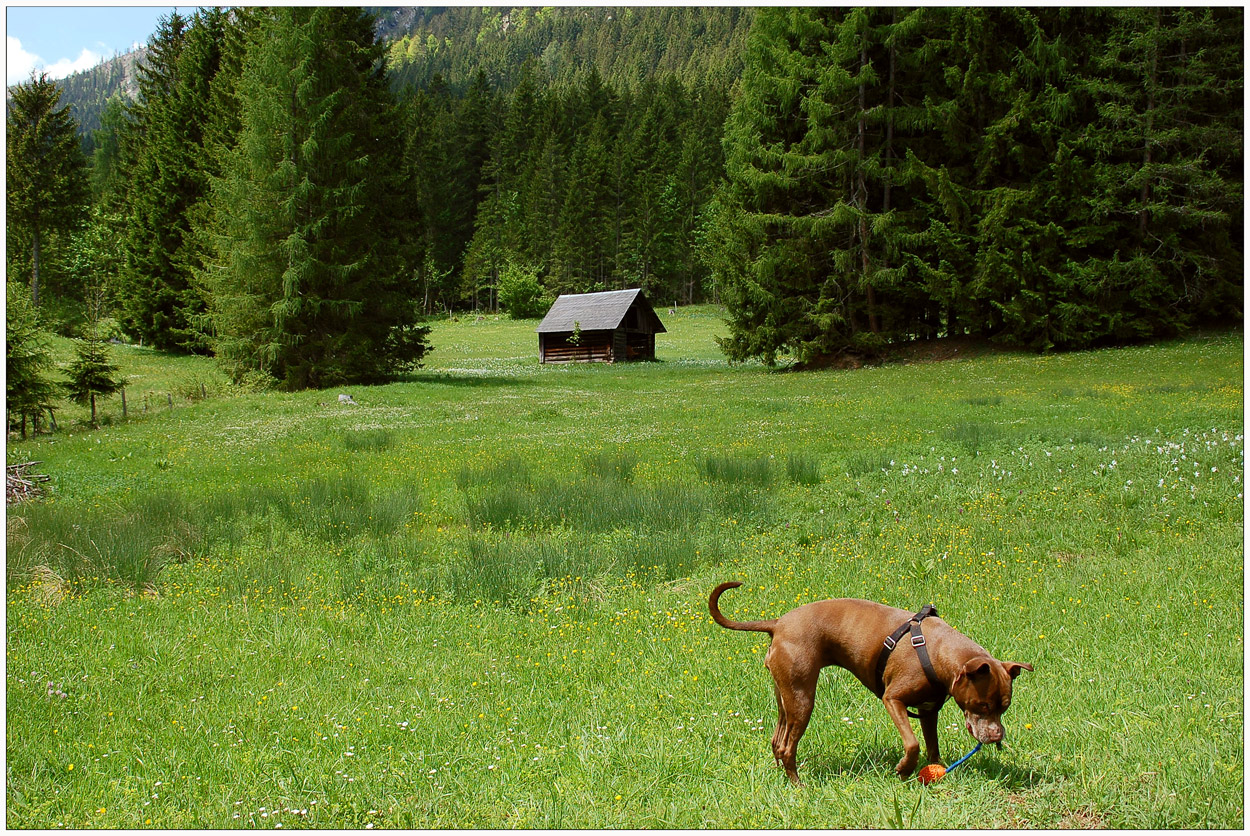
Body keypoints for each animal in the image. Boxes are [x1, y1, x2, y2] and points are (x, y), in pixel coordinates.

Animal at [710, 579, 1030, 784]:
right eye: (982, 705)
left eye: (1005, 707)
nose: (997, 737)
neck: (937, 651)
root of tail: (778, 623)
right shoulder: (894, 700)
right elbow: (912, 744)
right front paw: (903, 770)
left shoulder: (928, 710)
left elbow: (932, 747)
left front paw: (934, 772)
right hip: (802, 699)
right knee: (788, 747)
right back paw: (799, 786)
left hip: (786, 697)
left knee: (778, 741)